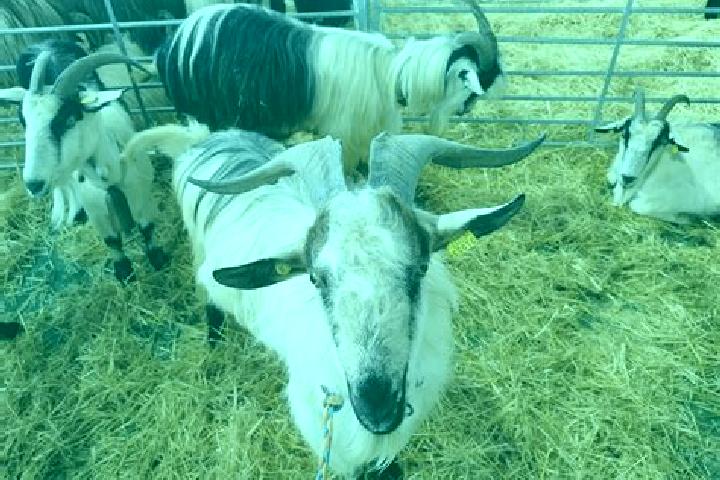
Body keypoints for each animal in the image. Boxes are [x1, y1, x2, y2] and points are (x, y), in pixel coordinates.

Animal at [0, 40, 168, 282]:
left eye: (69, 119)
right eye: (24, 122)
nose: (33, 184)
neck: (110, 180)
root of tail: (46, 44)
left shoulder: (140, 191)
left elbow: (147, 228)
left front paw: (159, 259)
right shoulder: (95, 206)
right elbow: (112, 241)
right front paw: (124, 272)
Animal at [122, 123, 544, 478]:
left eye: (420, 267)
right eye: (315, 278)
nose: (376, 403)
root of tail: (202, 138)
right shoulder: (320, 423)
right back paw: (214, 344)